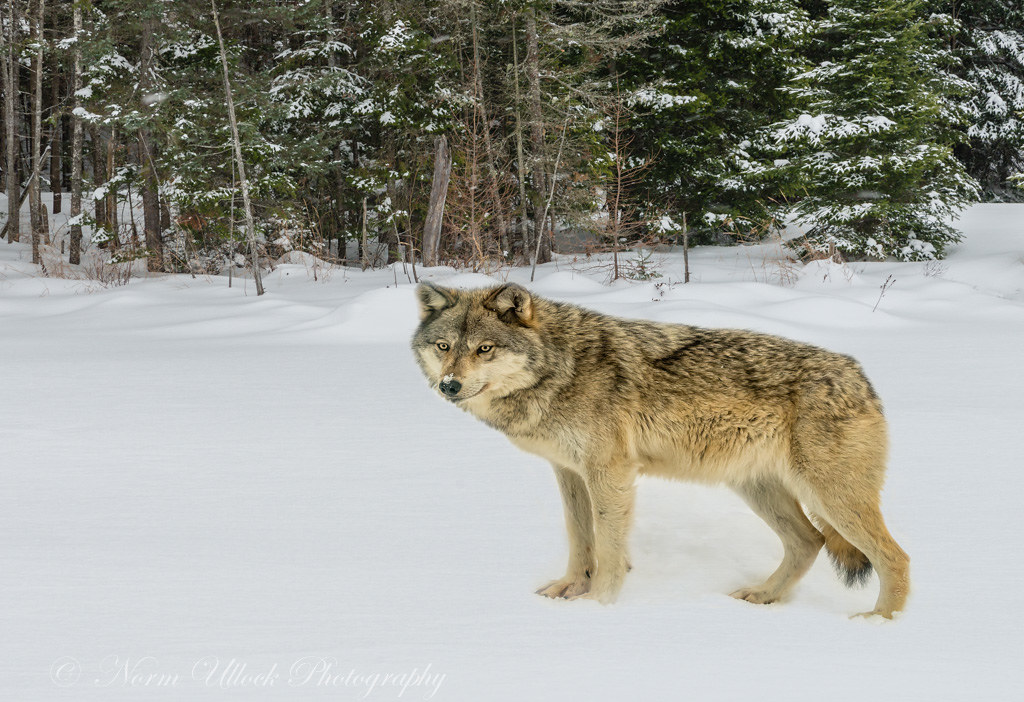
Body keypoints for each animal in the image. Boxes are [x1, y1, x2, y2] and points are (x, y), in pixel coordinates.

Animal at [411, 282, 910, 618]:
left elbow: (609, 548)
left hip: (831, 497)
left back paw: (878, 622)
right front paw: (570, 589)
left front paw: (598, 607)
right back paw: (763, 597)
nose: (449, 385)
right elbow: (579, 537)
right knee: (810, 542)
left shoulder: (609, 471)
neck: (561, 369)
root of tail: (860, 375)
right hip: (761, 490)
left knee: (895, 557)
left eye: (484, 348)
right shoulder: (569, 471)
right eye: (444, 346)